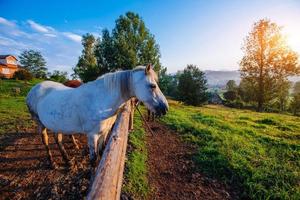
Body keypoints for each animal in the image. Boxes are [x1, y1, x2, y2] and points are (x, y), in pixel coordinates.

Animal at [26, 65, 169, 168]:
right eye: (153, 86)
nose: (165, 108)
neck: (100, 100)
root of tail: (34, 88)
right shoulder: (92, 135)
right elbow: (93, 160)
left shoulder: (104, 132)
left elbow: (101, 152)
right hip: (39, 122)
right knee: (45, 141)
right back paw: (52, 163)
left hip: (57, 123)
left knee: (58, 139)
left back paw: (67, 161)